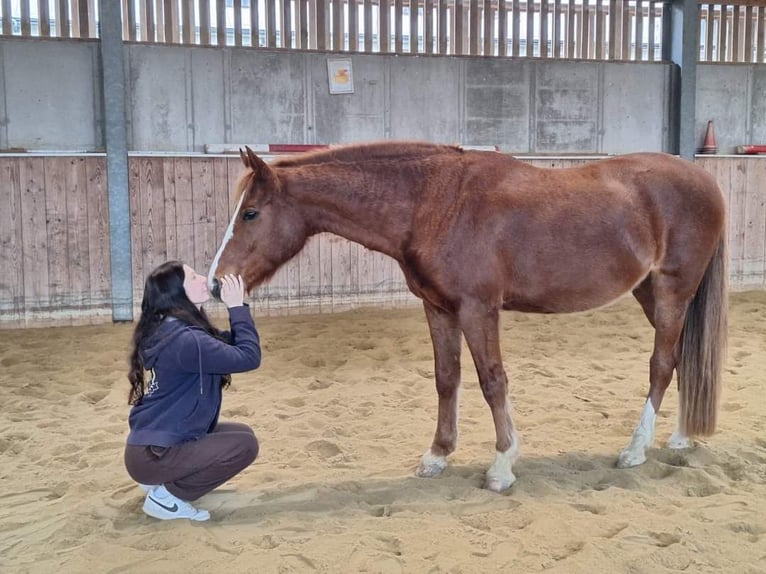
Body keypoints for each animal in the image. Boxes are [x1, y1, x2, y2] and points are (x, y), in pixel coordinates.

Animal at [207, 141, 728, 496]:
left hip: (673, 290)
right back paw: (680, 437)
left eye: (250, 213)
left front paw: (502, 465)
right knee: (681, 359)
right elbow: (447, 378)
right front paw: (437, 455)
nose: (214, 284)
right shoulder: (439, 308)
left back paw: (636, 449)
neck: (434, 203)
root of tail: (705, 183)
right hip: (649, 293)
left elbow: (492, 380)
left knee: (660, 365)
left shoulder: (479, 309)